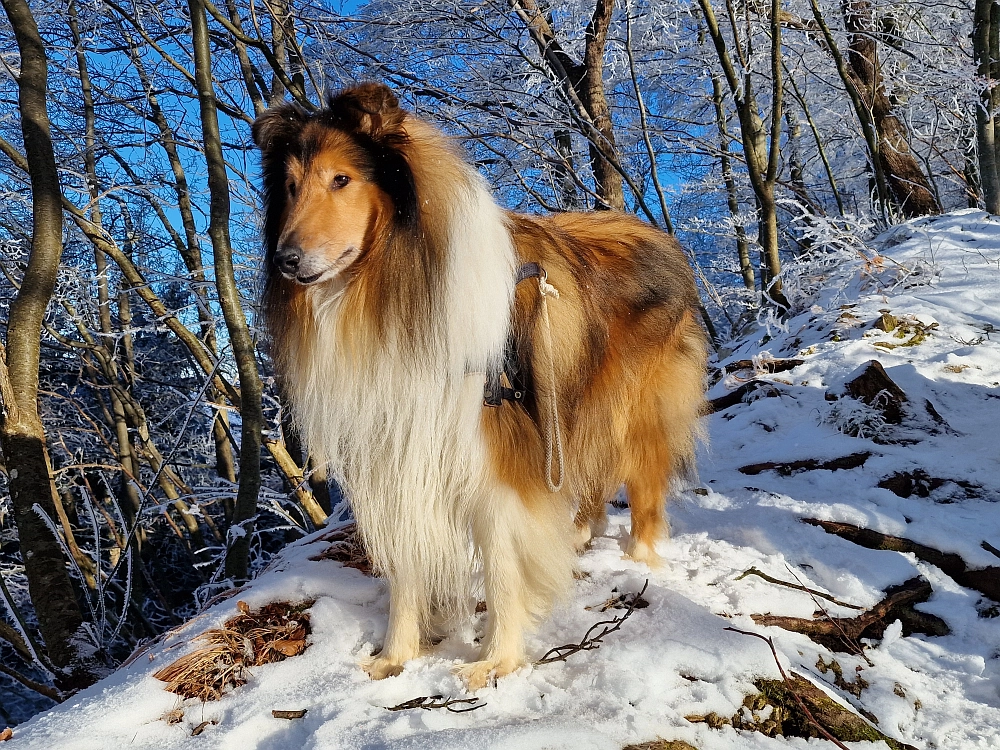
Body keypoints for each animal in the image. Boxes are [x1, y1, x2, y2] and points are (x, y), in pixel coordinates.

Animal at [254, 83, 708, 692]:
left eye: (341, 179)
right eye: (289, 186)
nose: (286, 259)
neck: (388, 286)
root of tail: (659, 235)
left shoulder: (496, 455)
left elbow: (500, 563)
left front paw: (497, 660)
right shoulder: (397, 448)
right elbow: (406, 568)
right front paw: (395, 657)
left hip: (633, 411)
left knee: (644, 482)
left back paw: (639, 556)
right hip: (573, 407)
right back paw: (580, 534)